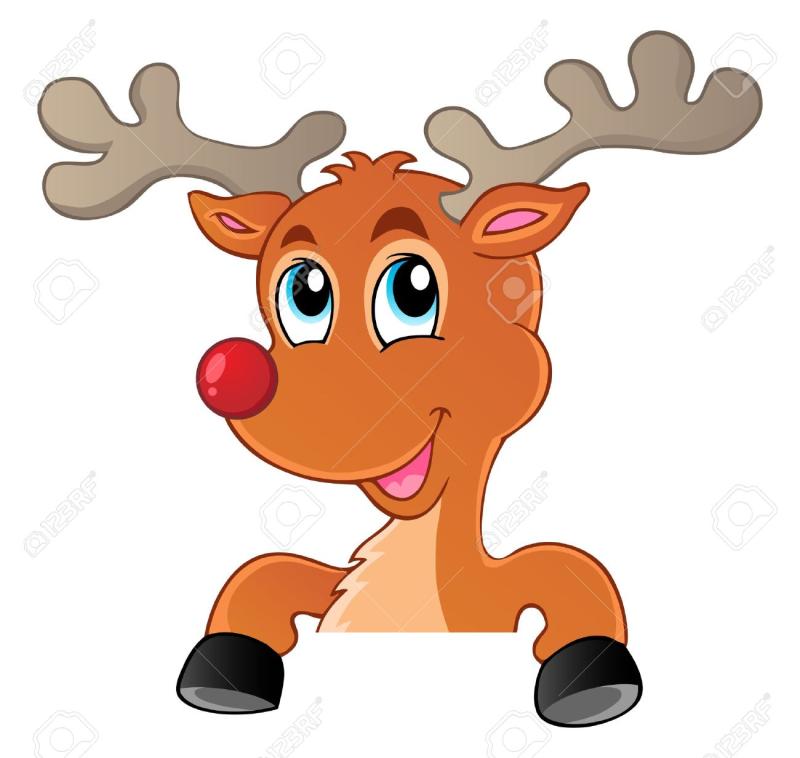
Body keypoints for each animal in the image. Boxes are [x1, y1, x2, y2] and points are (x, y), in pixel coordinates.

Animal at [38, 31, 762, 727]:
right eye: (305, 292)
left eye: (413, 289)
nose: (230, 378)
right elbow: (264, 572)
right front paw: (227, 668)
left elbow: (572, 570)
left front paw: (593, 675)